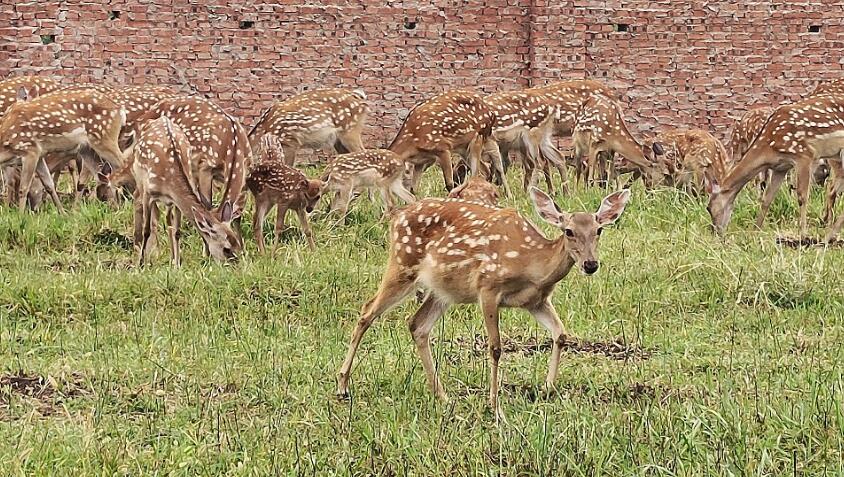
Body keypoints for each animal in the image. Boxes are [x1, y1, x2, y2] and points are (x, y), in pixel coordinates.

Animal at [132, 114, 242, 266]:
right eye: (226, 249)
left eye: (237, 244)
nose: (236, 266)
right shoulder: (149, 193)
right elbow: (146, 230)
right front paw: (141, 264)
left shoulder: (176, 199)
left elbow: (177, 231)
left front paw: (177, 263)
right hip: (139, 178)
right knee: (139, 201)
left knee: (167, 219)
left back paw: (171, 257)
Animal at [336, 186, 632, 416]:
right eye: (568, 231)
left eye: (599, 230)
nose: (590, 264)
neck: (532, 264)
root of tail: (396, 217)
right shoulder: (488, 288)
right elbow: (496, 348)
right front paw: (494, 406)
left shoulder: (536, 301)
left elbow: (561, 334)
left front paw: (547, 388)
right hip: (402, 264)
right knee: (367, 311)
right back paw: (342, 386)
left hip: (443, 291)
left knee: (417, 325)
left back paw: (442, 395)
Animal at [704, 91, 844, 238]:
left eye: (708, 208)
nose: (716, 232)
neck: (769, 146)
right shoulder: (780, 167)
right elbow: (767, 199)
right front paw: (755, 230)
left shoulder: (804, 155)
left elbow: (802, 197)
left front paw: (803, 234)